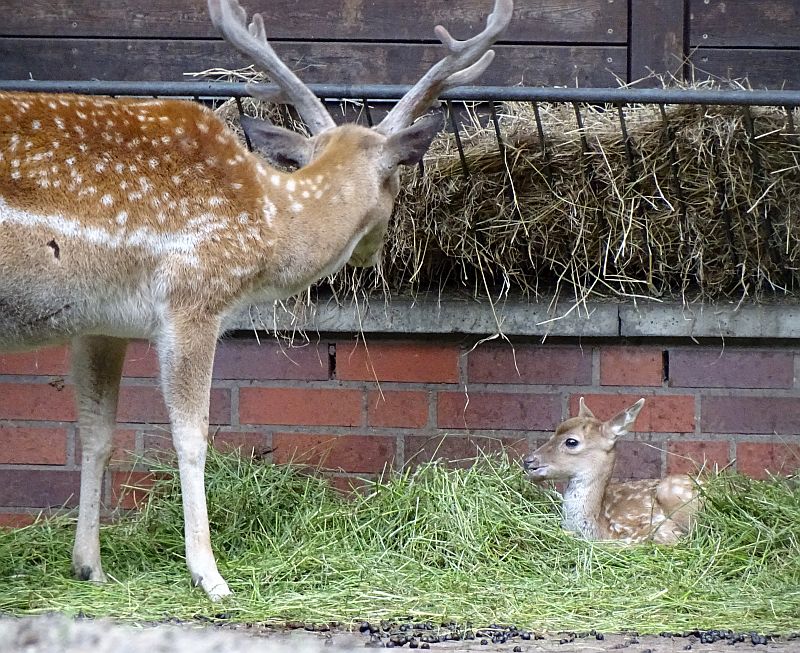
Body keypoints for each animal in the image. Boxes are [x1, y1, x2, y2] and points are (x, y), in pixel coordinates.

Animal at [0, 0, 512, 596]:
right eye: (396, 182)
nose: (372, 254)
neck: (269, 224)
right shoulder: (192, 300)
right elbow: (191, 435)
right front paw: (210, 575)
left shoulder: (100, 323)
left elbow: (96, 432)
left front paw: (90, 567)